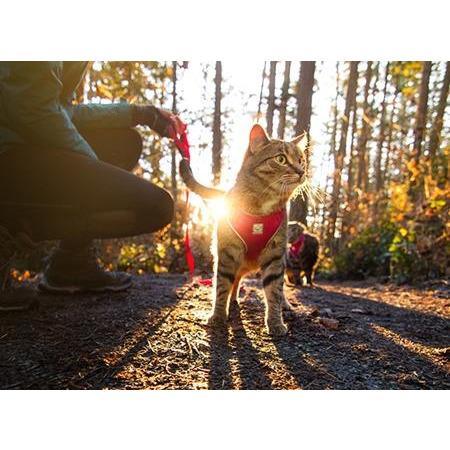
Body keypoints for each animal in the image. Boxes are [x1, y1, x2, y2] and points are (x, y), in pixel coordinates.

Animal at [179, 125, 310, 336]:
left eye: (301, 160)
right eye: (281, 159)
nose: (301, 171)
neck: (260, 209)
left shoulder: (275, 256)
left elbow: (274, 290)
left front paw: (275, 321)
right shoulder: (227, 253)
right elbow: (222, 286)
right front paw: (218, 315)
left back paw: (284, 304)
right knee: (234, 280)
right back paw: (232, 300)